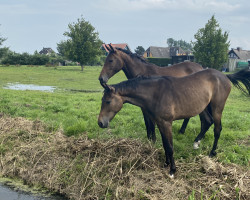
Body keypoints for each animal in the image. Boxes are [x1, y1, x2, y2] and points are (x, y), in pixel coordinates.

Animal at [97, 69, 250, 177]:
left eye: (108, 101)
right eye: (102, 100)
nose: (100, 123)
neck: (155, 93)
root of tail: (225, 76)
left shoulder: (166, 123)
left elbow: (170, 147)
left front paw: (172, 170)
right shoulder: (160, 123)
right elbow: (165, 145)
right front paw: (166, 163)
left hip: (217, 108)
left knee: (217, 129)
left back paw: (212, 153)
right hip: (203, 108)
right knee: (207, 122)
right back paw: (196, 143)